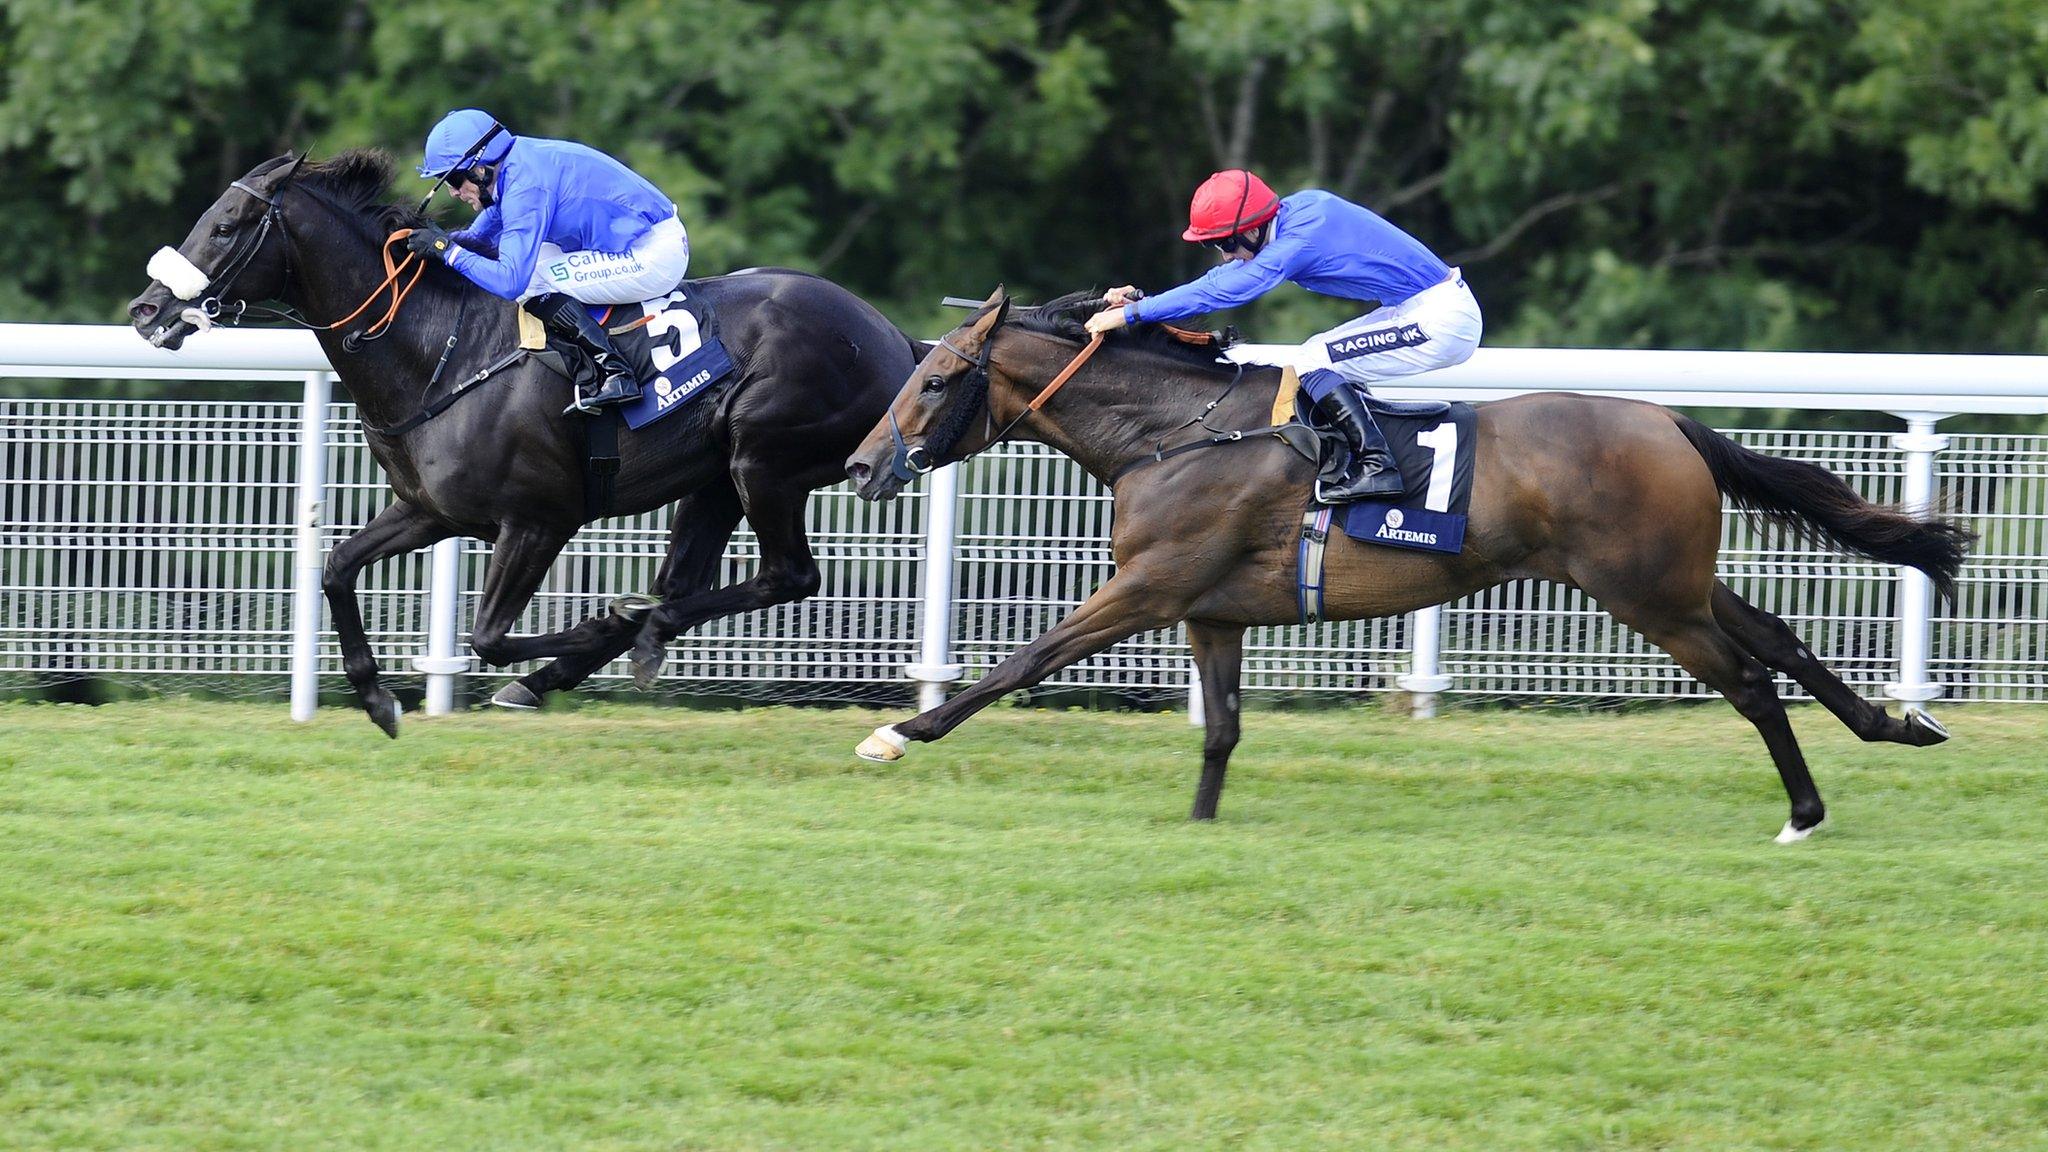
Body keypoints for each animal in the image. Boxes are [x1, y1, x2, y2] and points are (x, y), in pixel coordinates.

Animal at [130, 147, 921, 729]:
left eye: (226, 225)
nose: (147, 308)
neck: (442, 351)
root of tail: (896, 340)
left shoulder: (540, 519)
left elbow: (487, 636)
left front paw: (599, 627)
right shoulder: (430, 511)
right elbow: (336, 566)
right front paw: (378, 700)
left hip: (766, 458)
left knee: (789, 576)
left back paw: (626, 633)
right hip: (717, 476)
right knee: (689, 580)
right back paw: (615, 645)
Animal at [843, 286, 1966, 844]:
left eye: (935, 379)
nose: (858, 465)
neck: (1174, 433)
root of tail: (1669, 423)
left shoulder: (1150, 587)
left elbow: (1020, 662)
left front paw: (897, 734)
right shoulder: (1211, 611)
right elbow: (1221, 731)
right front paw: (1200, 827)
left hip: (1646, 595)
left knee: (1750, 682)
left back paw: (1803, 814)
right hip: (1675, 580)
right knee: (1778, 641)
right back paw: (1894, 726)